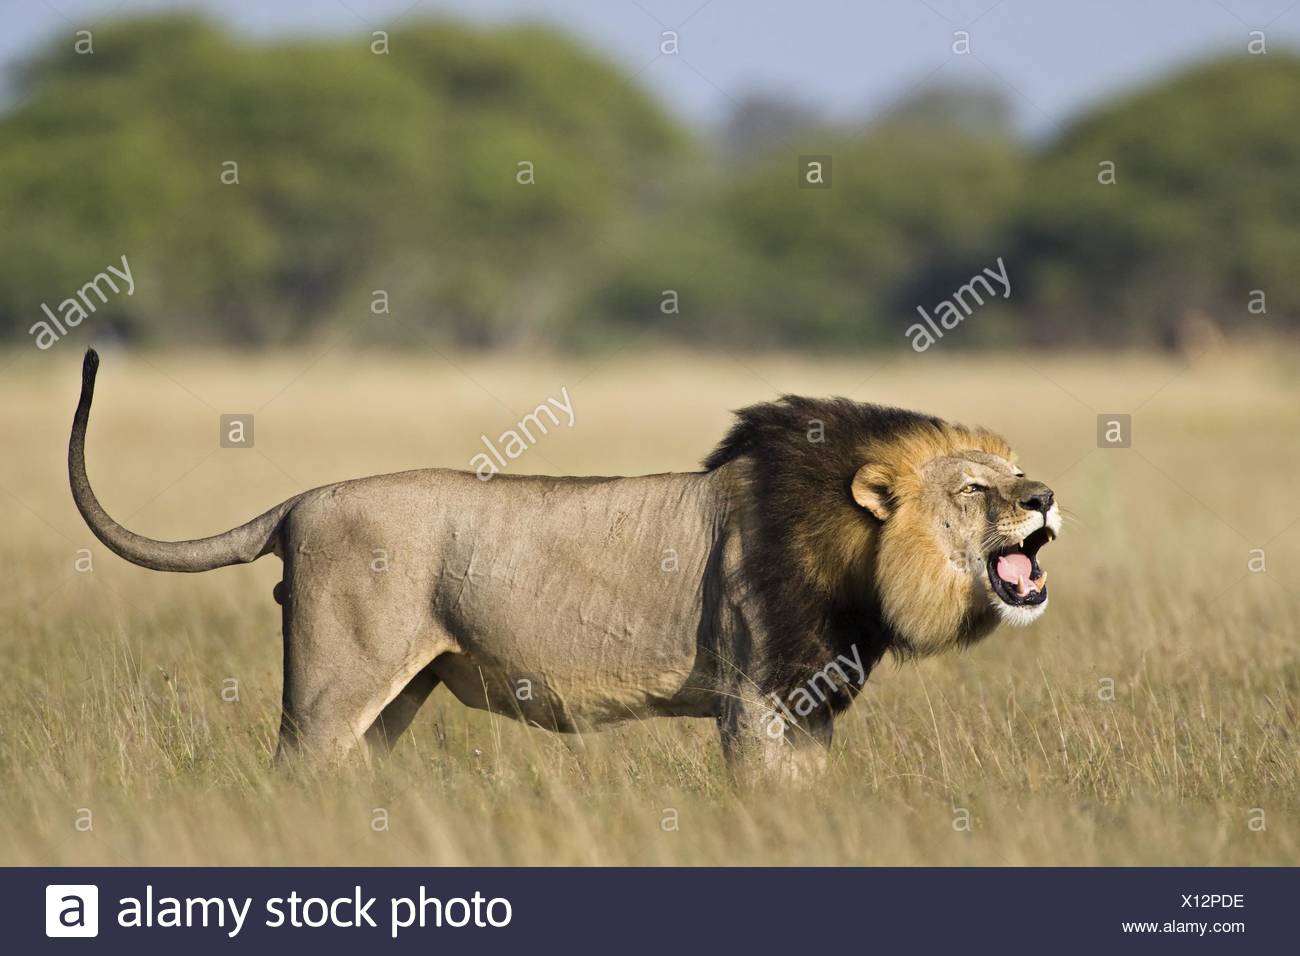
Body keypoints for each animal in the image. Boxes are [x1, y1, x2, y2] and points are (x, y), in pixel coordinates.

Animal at [69, 349, 1060, 774]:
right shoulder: (752, 696)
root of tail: (301, 502)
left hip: (396, 694)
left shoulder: (810, 700)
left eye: (1016, 477)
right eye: (977, 488)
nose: (1045, 496)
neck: (859, 558)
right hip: (327, 685)